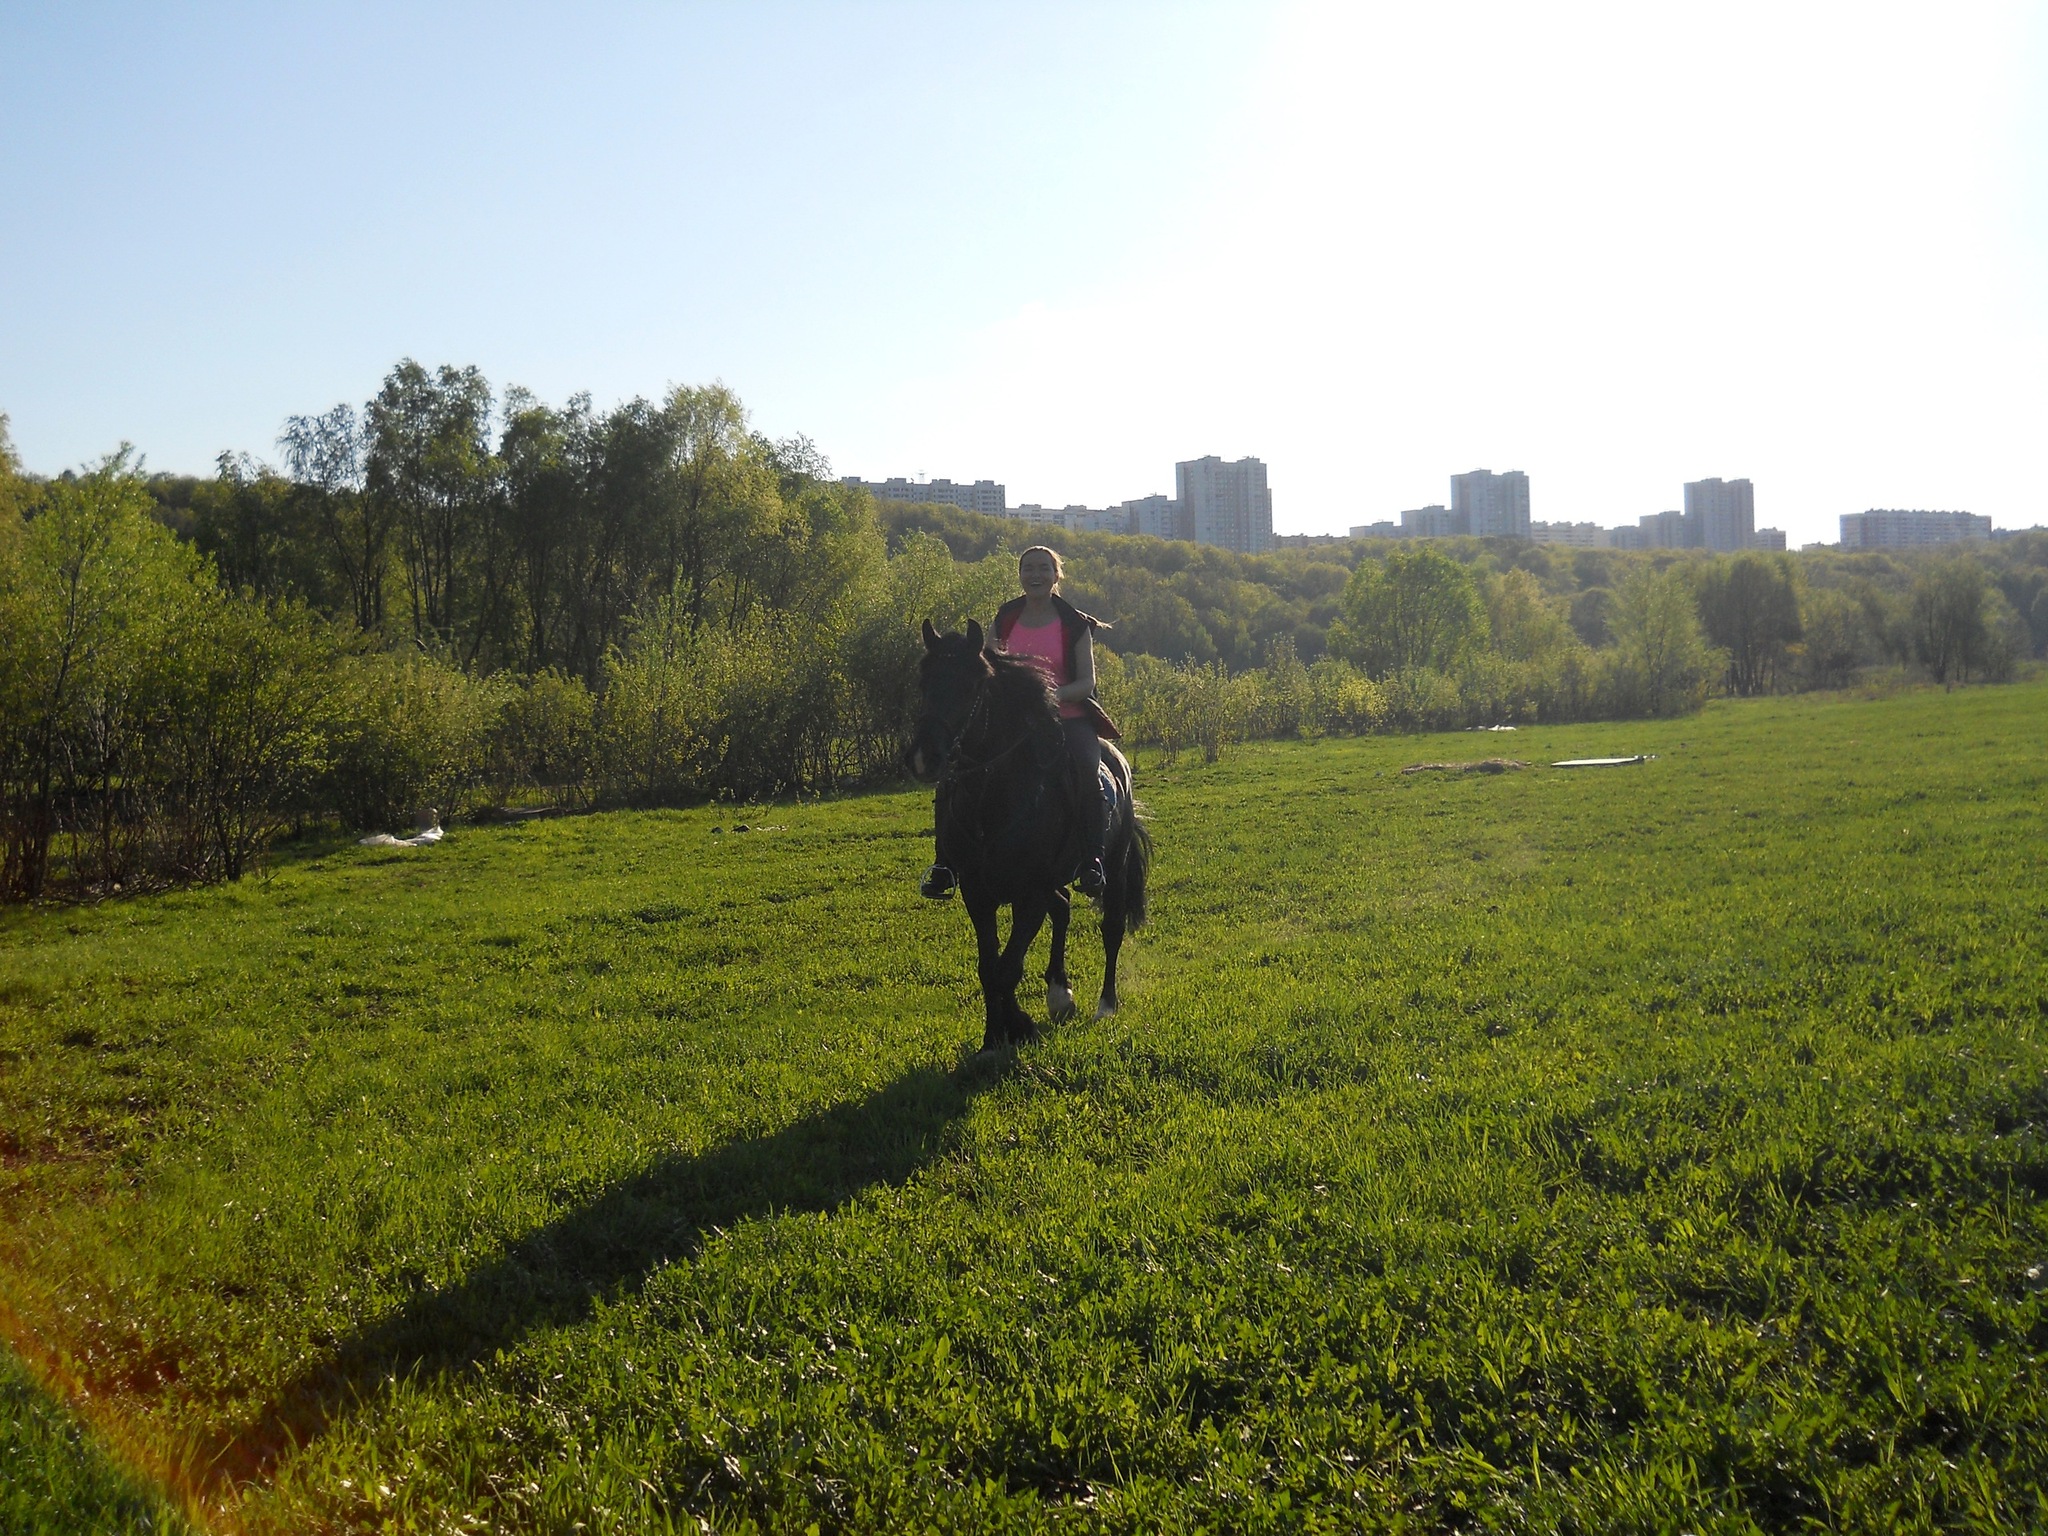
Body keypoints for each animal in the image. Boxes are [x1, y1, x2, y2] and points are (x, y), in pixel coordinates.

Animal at [913, 618, 1155, 1056]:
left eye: (972, 685)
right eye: (924, 682)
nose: (924, 757)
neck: (994, 799)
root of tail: (1117, 760)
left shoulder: (1031, 892)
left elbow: (1008, 967)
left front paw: (1015, 1028)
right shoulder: (978, 891)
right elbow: (989, 966)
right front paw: (996, 1036)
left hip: (1112, 866)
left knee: (1110, 928)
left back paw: (1105, 1005)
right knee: (1063, 909)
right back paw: (1060, 995)